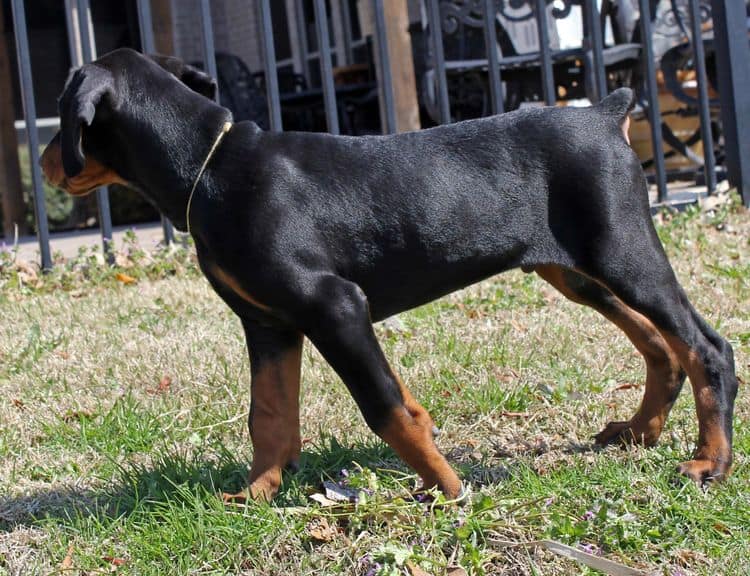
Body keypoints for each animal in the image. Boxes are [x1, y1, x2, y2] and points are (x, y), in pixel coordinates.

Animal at [41, 48, 740, 500]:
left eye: (64, 116)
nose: (45, 163)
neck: (210, 167)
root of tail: (603, 111)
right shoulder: (268, 324)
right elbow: (268, 413)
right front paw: (256, 493)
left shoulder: (334, 307)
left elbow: (386, 406)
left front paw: (447, 489)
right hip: (576, 271)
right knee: (660, 345)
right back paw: (639, 434)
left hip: (623, 252)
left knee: (706, 346)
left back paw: (709, 463)